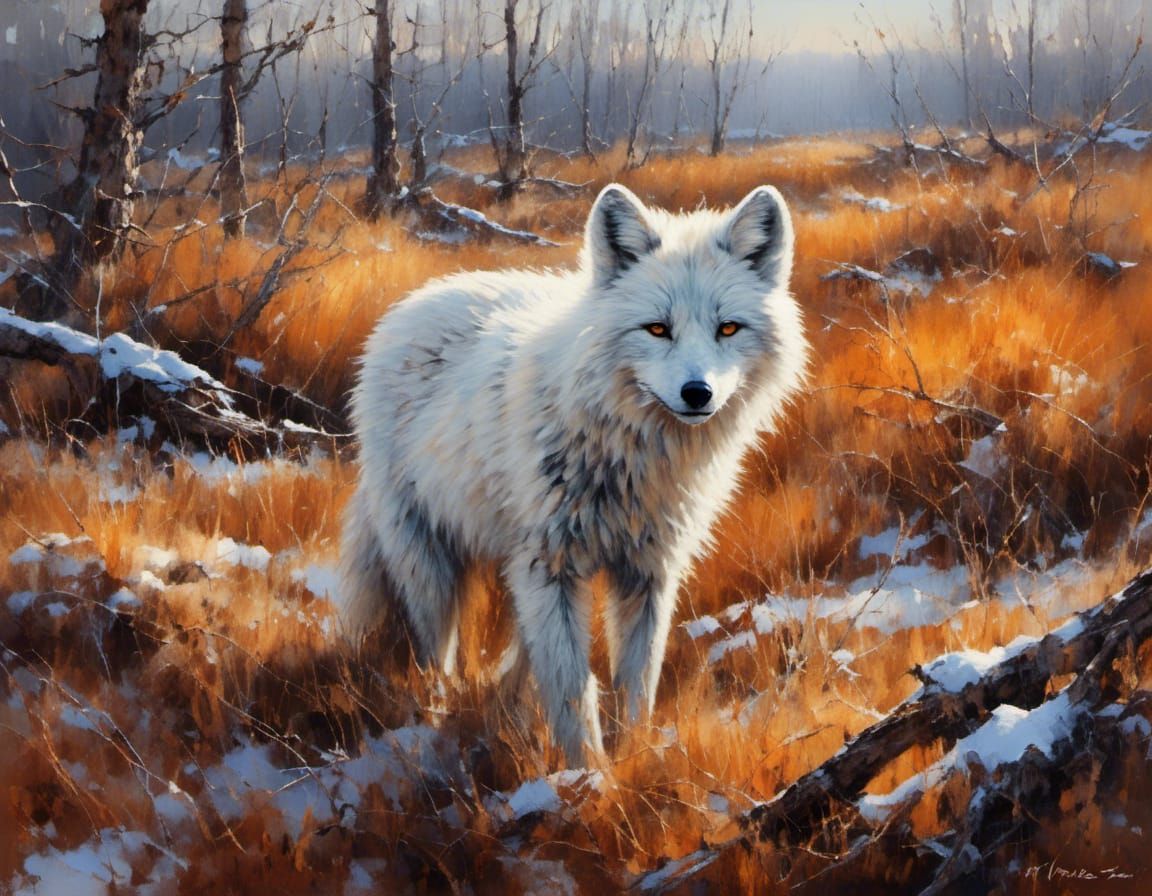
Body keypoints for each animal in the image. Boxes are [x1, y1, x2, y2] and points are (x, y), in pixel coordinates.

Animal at [338, 183, 809, 765]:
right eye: (658, 329)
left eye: (728, 328)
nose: (697, 393)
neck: (632, 458)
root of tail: (420, 297)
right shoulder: (552, 566)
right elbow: (571, 686)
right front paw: (588, 775)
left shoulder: (647, 572)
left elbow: (636, 683)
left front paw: (634, 759)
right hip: (430, 565)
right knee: (437, 658)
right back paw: (437, 722)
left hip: (515, 569)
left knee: (519, 655)